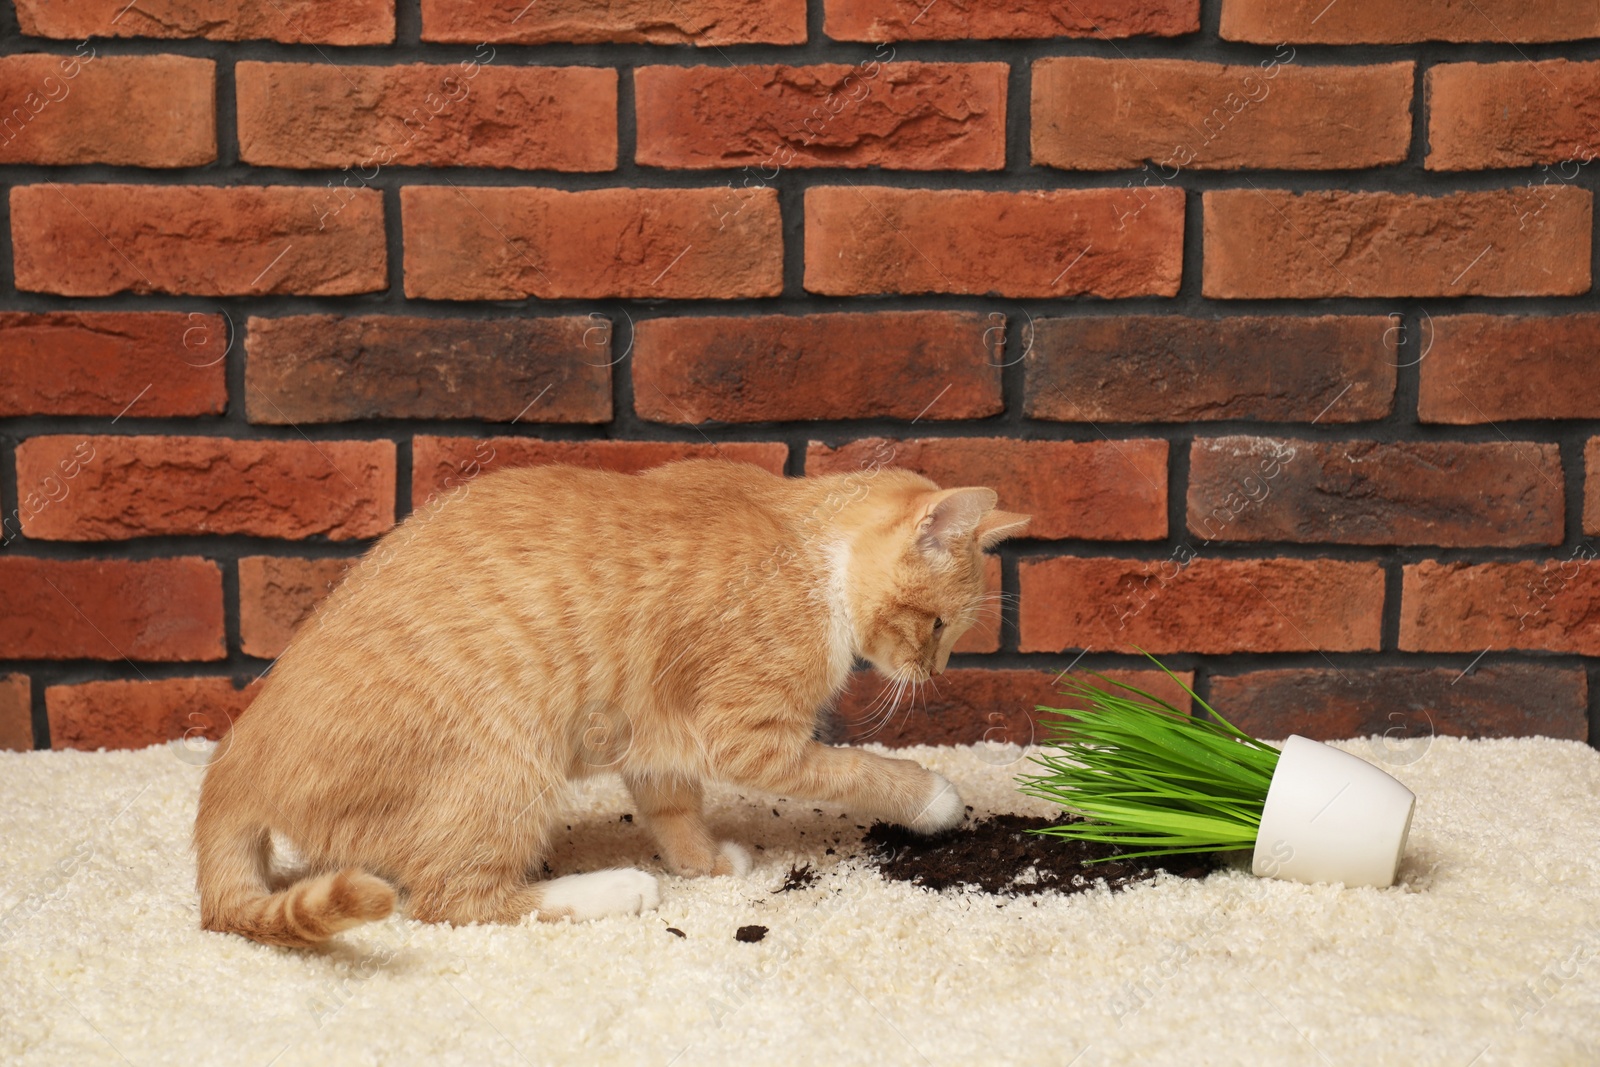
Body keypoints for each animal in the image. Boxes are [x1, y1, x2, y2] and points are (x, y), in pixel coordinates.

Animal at [193, 454, 1030, 947]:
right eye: (939, 625)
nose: (933, 670)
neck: (807, 546)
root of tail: (233, 764)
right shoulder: (748, 736)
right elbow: (860, 768)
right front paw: (931, 796)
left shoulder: (658, 729)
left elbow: (673, 805)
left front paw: (704, 863)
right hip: (508, 764)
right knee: (453, 899)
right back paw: (612, 887)